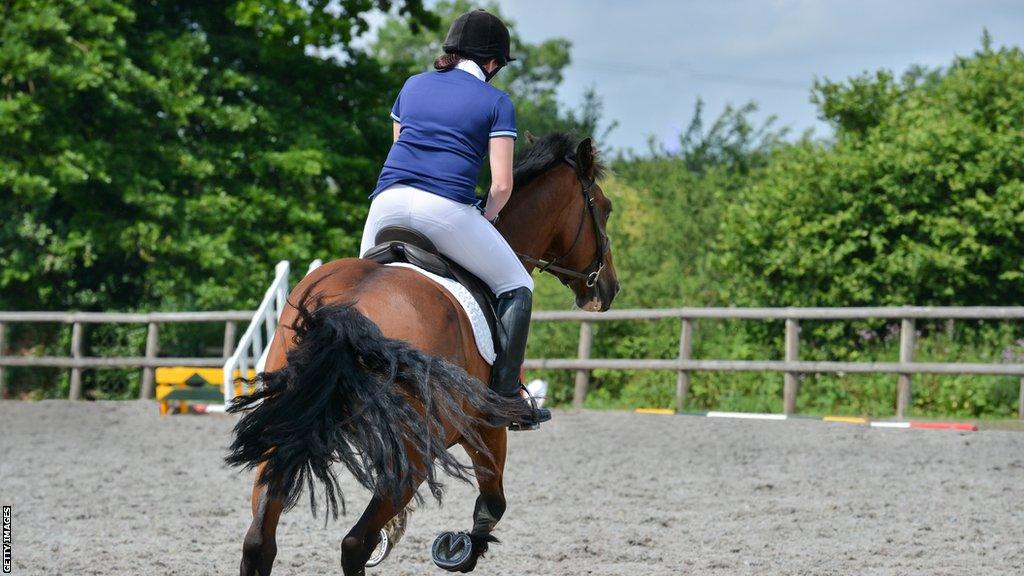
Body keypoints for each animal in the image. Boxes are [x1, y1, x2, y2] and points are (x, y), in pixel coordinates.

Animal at [228, 132, 618, 569]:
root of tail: (347, 311)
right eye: (604, 208)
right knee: (354, 543)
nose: (608, 289)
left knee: (260, 541)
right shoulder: (484, 426)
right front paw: (460, 550)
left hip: (285, 434)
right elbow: (494, 502)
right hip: (416, 451)